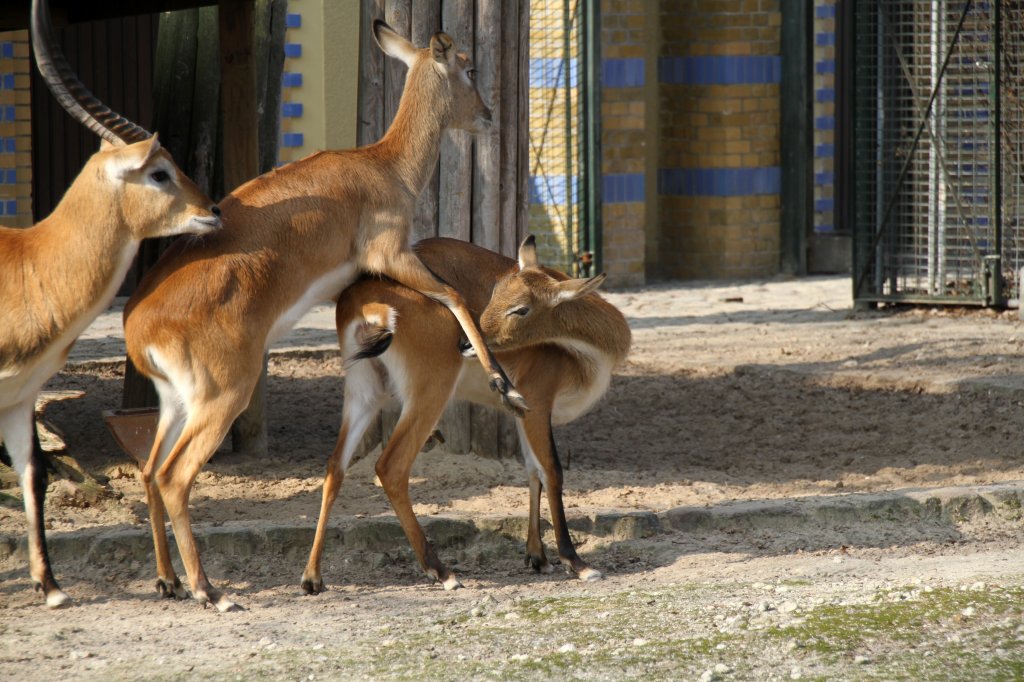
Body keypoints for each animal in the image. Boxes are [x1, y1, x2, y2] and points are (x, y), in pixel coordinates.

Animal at [0, 0, 222, 606]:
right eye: (158, 170)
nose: (213, 210)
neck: (27, 265)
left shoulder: (19, 397)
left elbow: (33, 475)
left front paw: (51, 587)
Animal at [126, 19, 524, 610]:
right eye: (469, 66)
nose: (488, 114)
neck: (386, 165)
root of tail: (137, 325)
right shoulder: (394, 254)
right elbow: (454, 295)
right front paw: (503, 383)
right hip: (222, 397)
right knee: (176, 476)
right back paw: (211, 591)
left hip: (176, 402)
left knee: (151, 471)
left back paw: (169, 580)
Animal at [299, 236, 626, 593]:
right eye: (496, 292)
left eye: (520, 307)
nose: (466, 344)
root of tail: (364, 304)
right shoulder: (538, 404)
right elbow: (552, 471)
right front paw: (577, 563)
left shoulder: (522, 414)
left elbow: (532, 472)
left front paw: (538, 557)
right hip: (429, 392)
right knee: (390, 466)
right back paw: (443, 572)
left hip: (365, 393)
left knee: (335, 466)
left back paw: (312, 577)